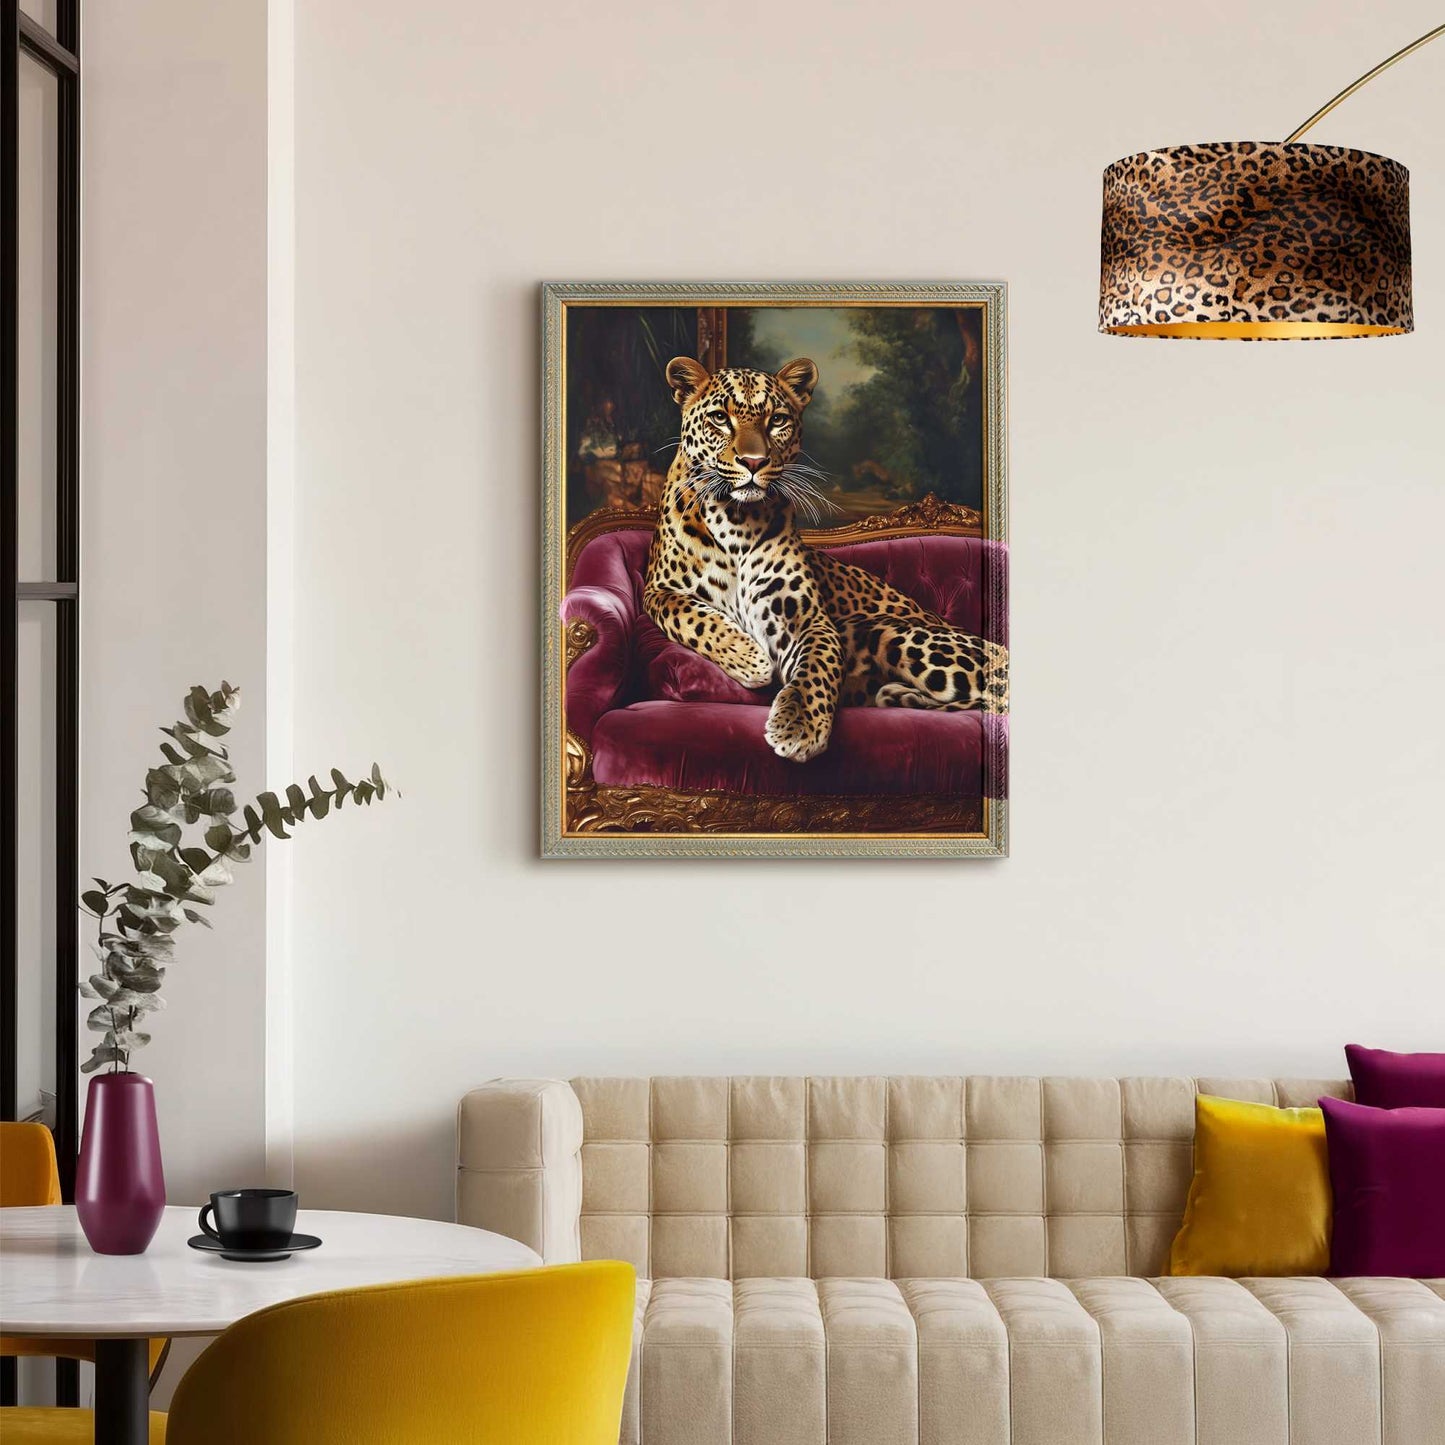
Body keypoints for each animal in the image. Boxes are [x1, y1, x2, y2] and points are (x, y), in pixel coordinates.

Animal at [643, 354, 1008, 764]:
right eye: (720, 418)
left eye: (777, 420)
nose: (753, 461)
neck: (736, 517)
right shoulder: (657, 590)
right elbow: (688, 616)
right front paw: (750, 658)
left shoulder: (806, 619)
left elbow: (817, 666)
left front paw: (799, 723)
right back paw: (898, 694)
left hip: (897, 632)